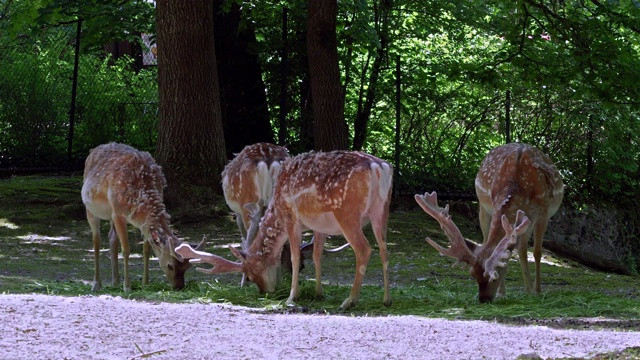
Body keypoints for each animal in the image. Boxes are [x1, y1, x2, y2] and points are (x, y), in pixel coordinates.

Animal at [81, 142, 202, 292]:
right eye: (170, 265)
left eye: (187, 267)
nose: (179, 287)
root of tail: (94, 150)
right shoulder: (118, 213)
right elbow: (126, 250)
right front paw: (127, 287)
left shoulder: (142, 222)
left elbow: (146, 250)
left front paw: (145, 283)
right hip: (91, 210)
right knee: (96, 242)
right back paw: (97, 284)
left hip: (110, 215)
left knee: (112, 237)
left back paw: (115, 282)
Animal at [178, 150, 392, 310]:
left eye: (251, 275)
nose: (265, 291)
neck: (276, 210)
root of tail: (379, 168)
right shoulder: (319, 225)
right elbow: (316, 254)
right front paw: (318, 293)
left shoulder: (291, 218)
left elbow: (295, 256)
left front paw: (291, 296)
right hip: (382, 210)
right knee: (384, 249)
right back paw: (386, 299)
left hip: (347, 213)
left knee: (364, 249)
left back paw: (349, 301)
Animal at [416, 142, 560, 302]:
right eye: (472, 274)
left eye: (494, 276)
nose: (483, 299)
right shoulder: (491, 204)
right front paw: (503, 293)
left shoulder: (543, 212)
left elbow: (537, 252)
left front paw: (538, 291)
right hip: (483, 208)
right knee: (510, 245)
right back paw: (511, 291)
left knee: (522, 248)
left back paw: (529, 289)